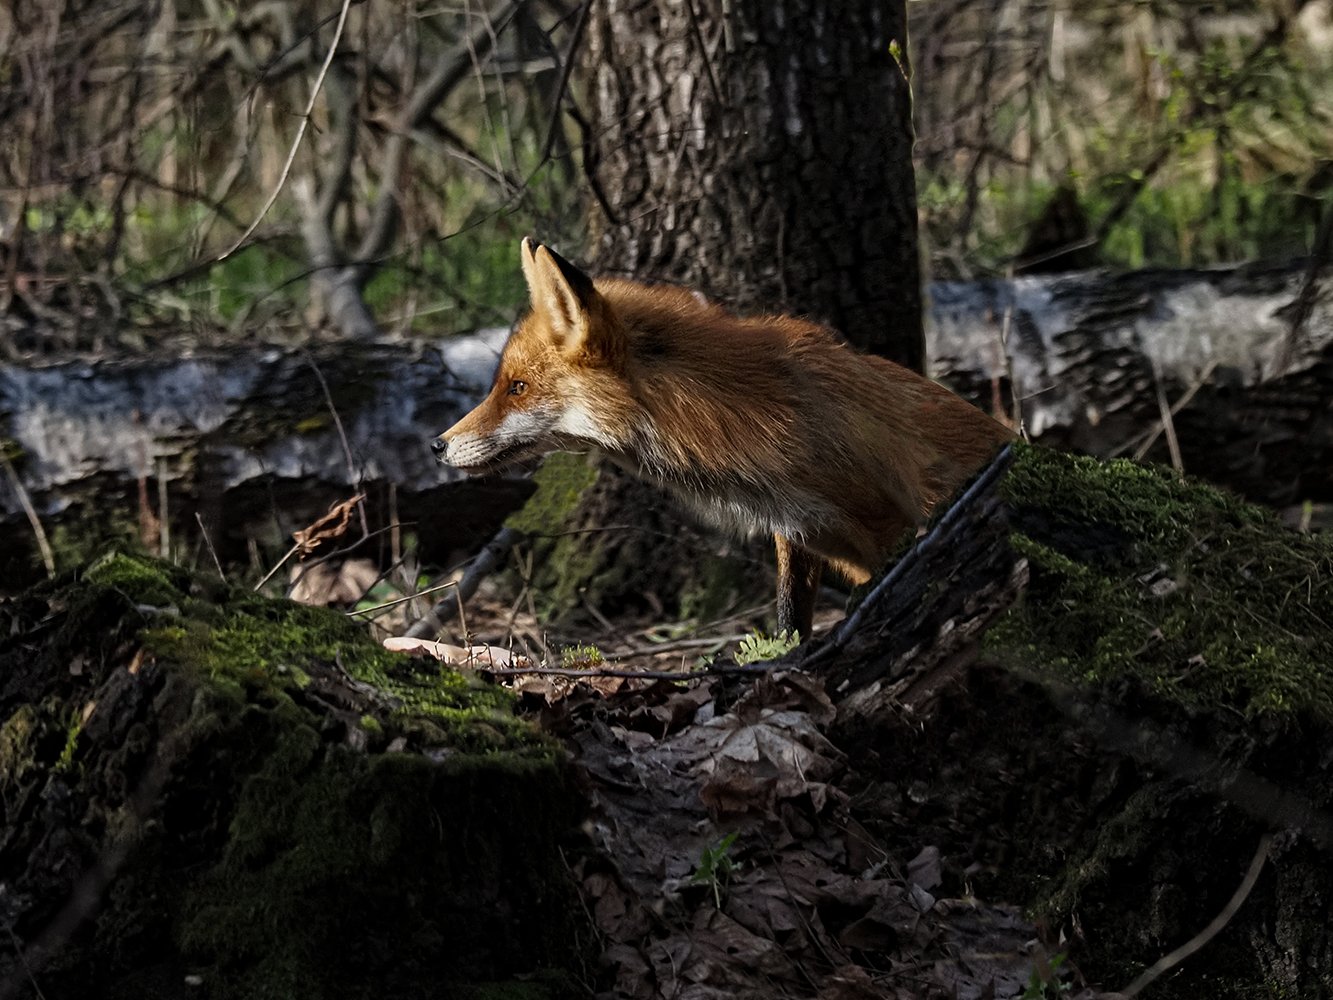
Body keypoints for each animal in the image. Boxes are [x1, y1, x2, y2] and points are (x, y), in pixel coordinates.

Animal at [434, 238, 1007, 637]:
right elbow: (789, 621)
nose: (438, 445)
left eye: (518, 388)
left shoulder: (892, 520)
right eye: (504, 384)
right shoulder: (797, 532)